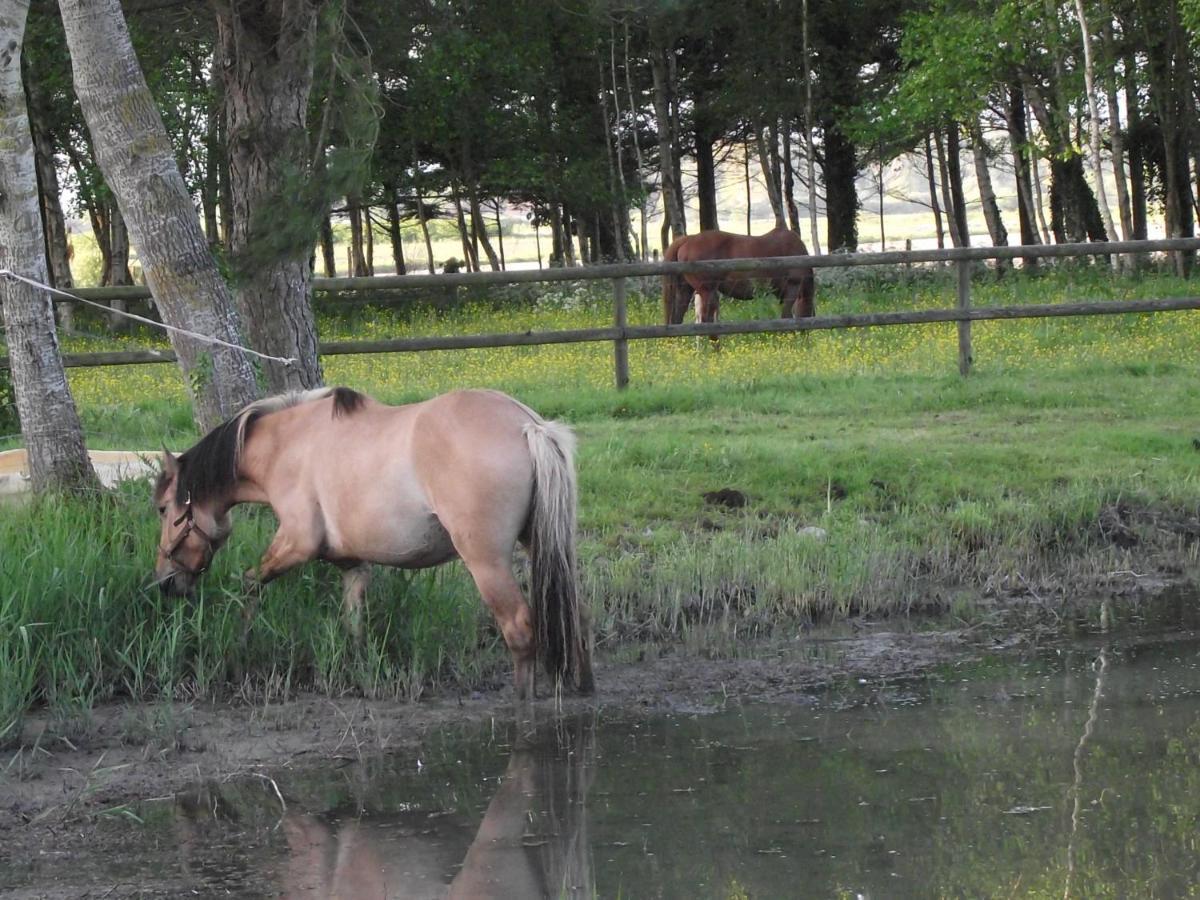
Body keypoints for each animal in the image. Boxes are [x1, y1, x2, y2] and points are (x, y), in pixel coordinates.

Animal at [154, 384, 595, 700]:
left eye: (162, 509)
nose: (165, 583)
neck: (289, 445)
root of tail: (530, 426)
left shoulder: (296, 543)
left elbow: (250, 583)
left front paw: (239, 646)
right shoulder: (352, 564)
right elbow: (354, 622)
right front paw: (360, 670)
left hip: (487, 563)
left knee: (519, 630)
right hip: (544, 546)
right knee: (576, 614)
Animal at [662, 226, 820, 328]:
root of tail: (688, 240)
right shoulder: (792, 289)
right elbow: (786, 316)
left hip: (685, 291)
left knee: (677, 319)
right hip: (707, 291)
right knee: (706, 321)